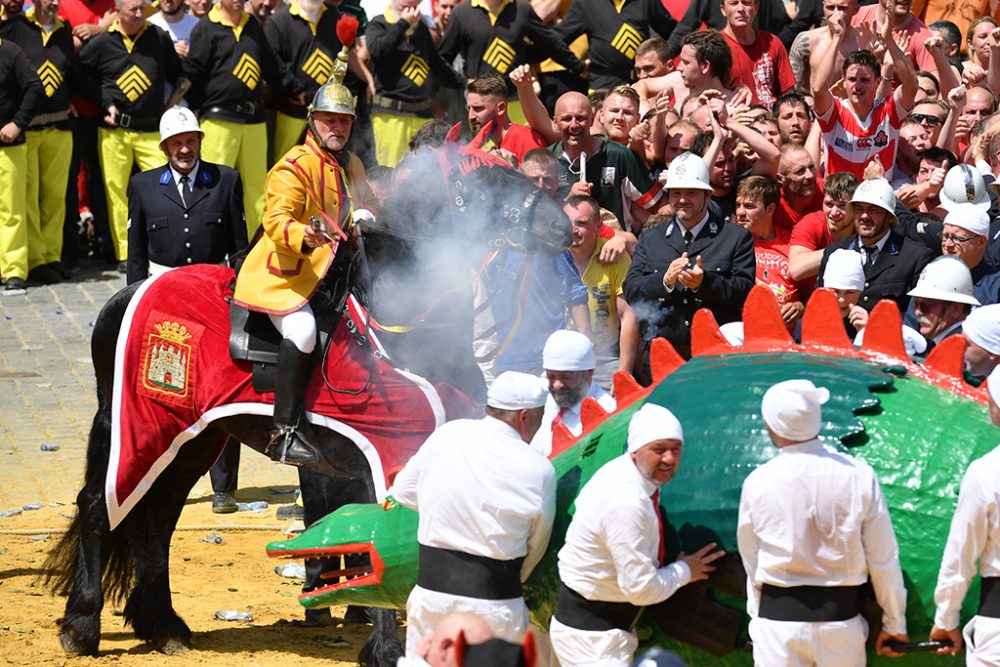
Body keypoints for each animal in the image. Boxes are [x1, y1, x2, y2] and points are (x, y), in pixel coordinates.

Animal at [41, 145, 572, 664]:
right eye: (488, 184)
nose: (564, 228)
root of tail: (131, 291)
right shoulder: (388, 453)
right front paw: (385, 649)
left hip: (192, 437)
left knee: (158, 516)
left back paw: (163, 625)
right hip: (133, 425)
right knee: (99, 504)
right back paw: (83, 625)